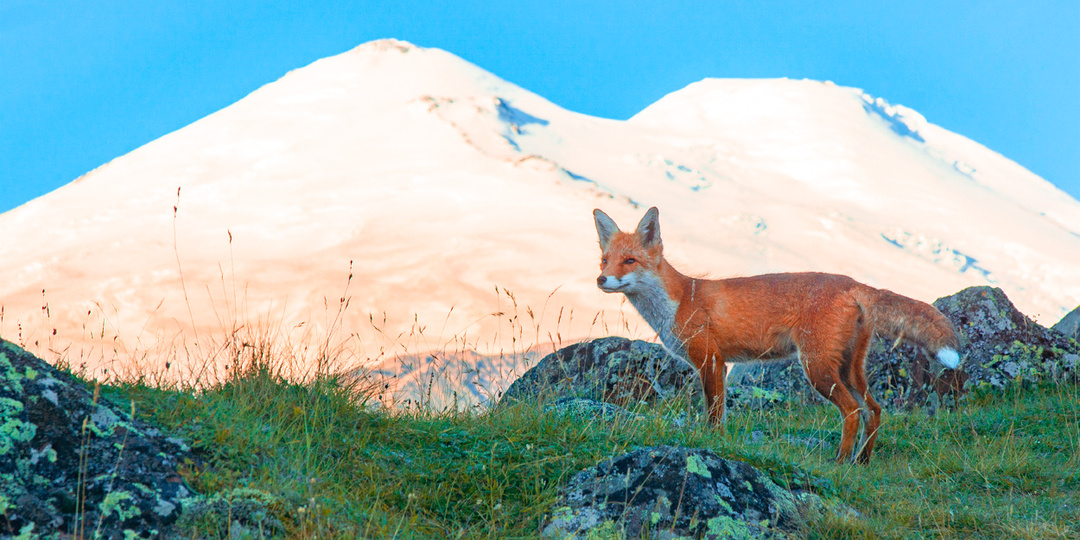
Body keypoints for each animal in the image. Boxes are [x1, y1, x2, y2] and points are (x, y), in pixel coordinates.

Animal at [591, 206, 963, 464]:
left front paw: (712, 442)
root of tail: (853, 283)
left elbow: (713, 412)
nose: (601, 280)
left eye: (630, 260)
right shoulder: (719, 364)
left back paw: (840, 461)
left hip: (817, 368)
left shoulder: (710, 359)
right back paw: (862, 461)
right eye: (605, 260)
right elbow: (717, 410)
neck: (680, 299)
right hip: (850, 369)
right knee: (875, 410)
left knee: (852, 412)